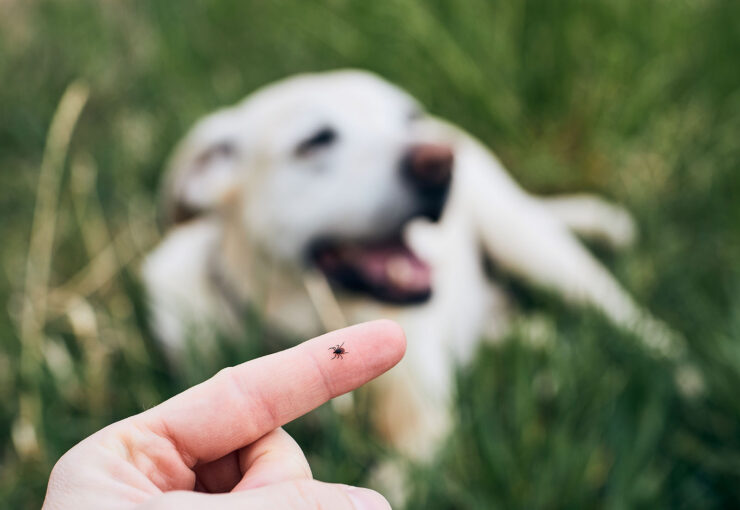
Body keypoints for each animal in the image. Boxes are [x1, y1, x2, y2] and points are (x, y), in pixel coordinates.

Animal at [143, 69, 684, 464]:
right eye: (315, 141)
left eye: (408, 118)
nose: (440, 162)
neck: (309, 319)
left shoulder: (422, 431)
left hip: (532, 245)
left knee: (629, 319)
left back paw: (685, 377)